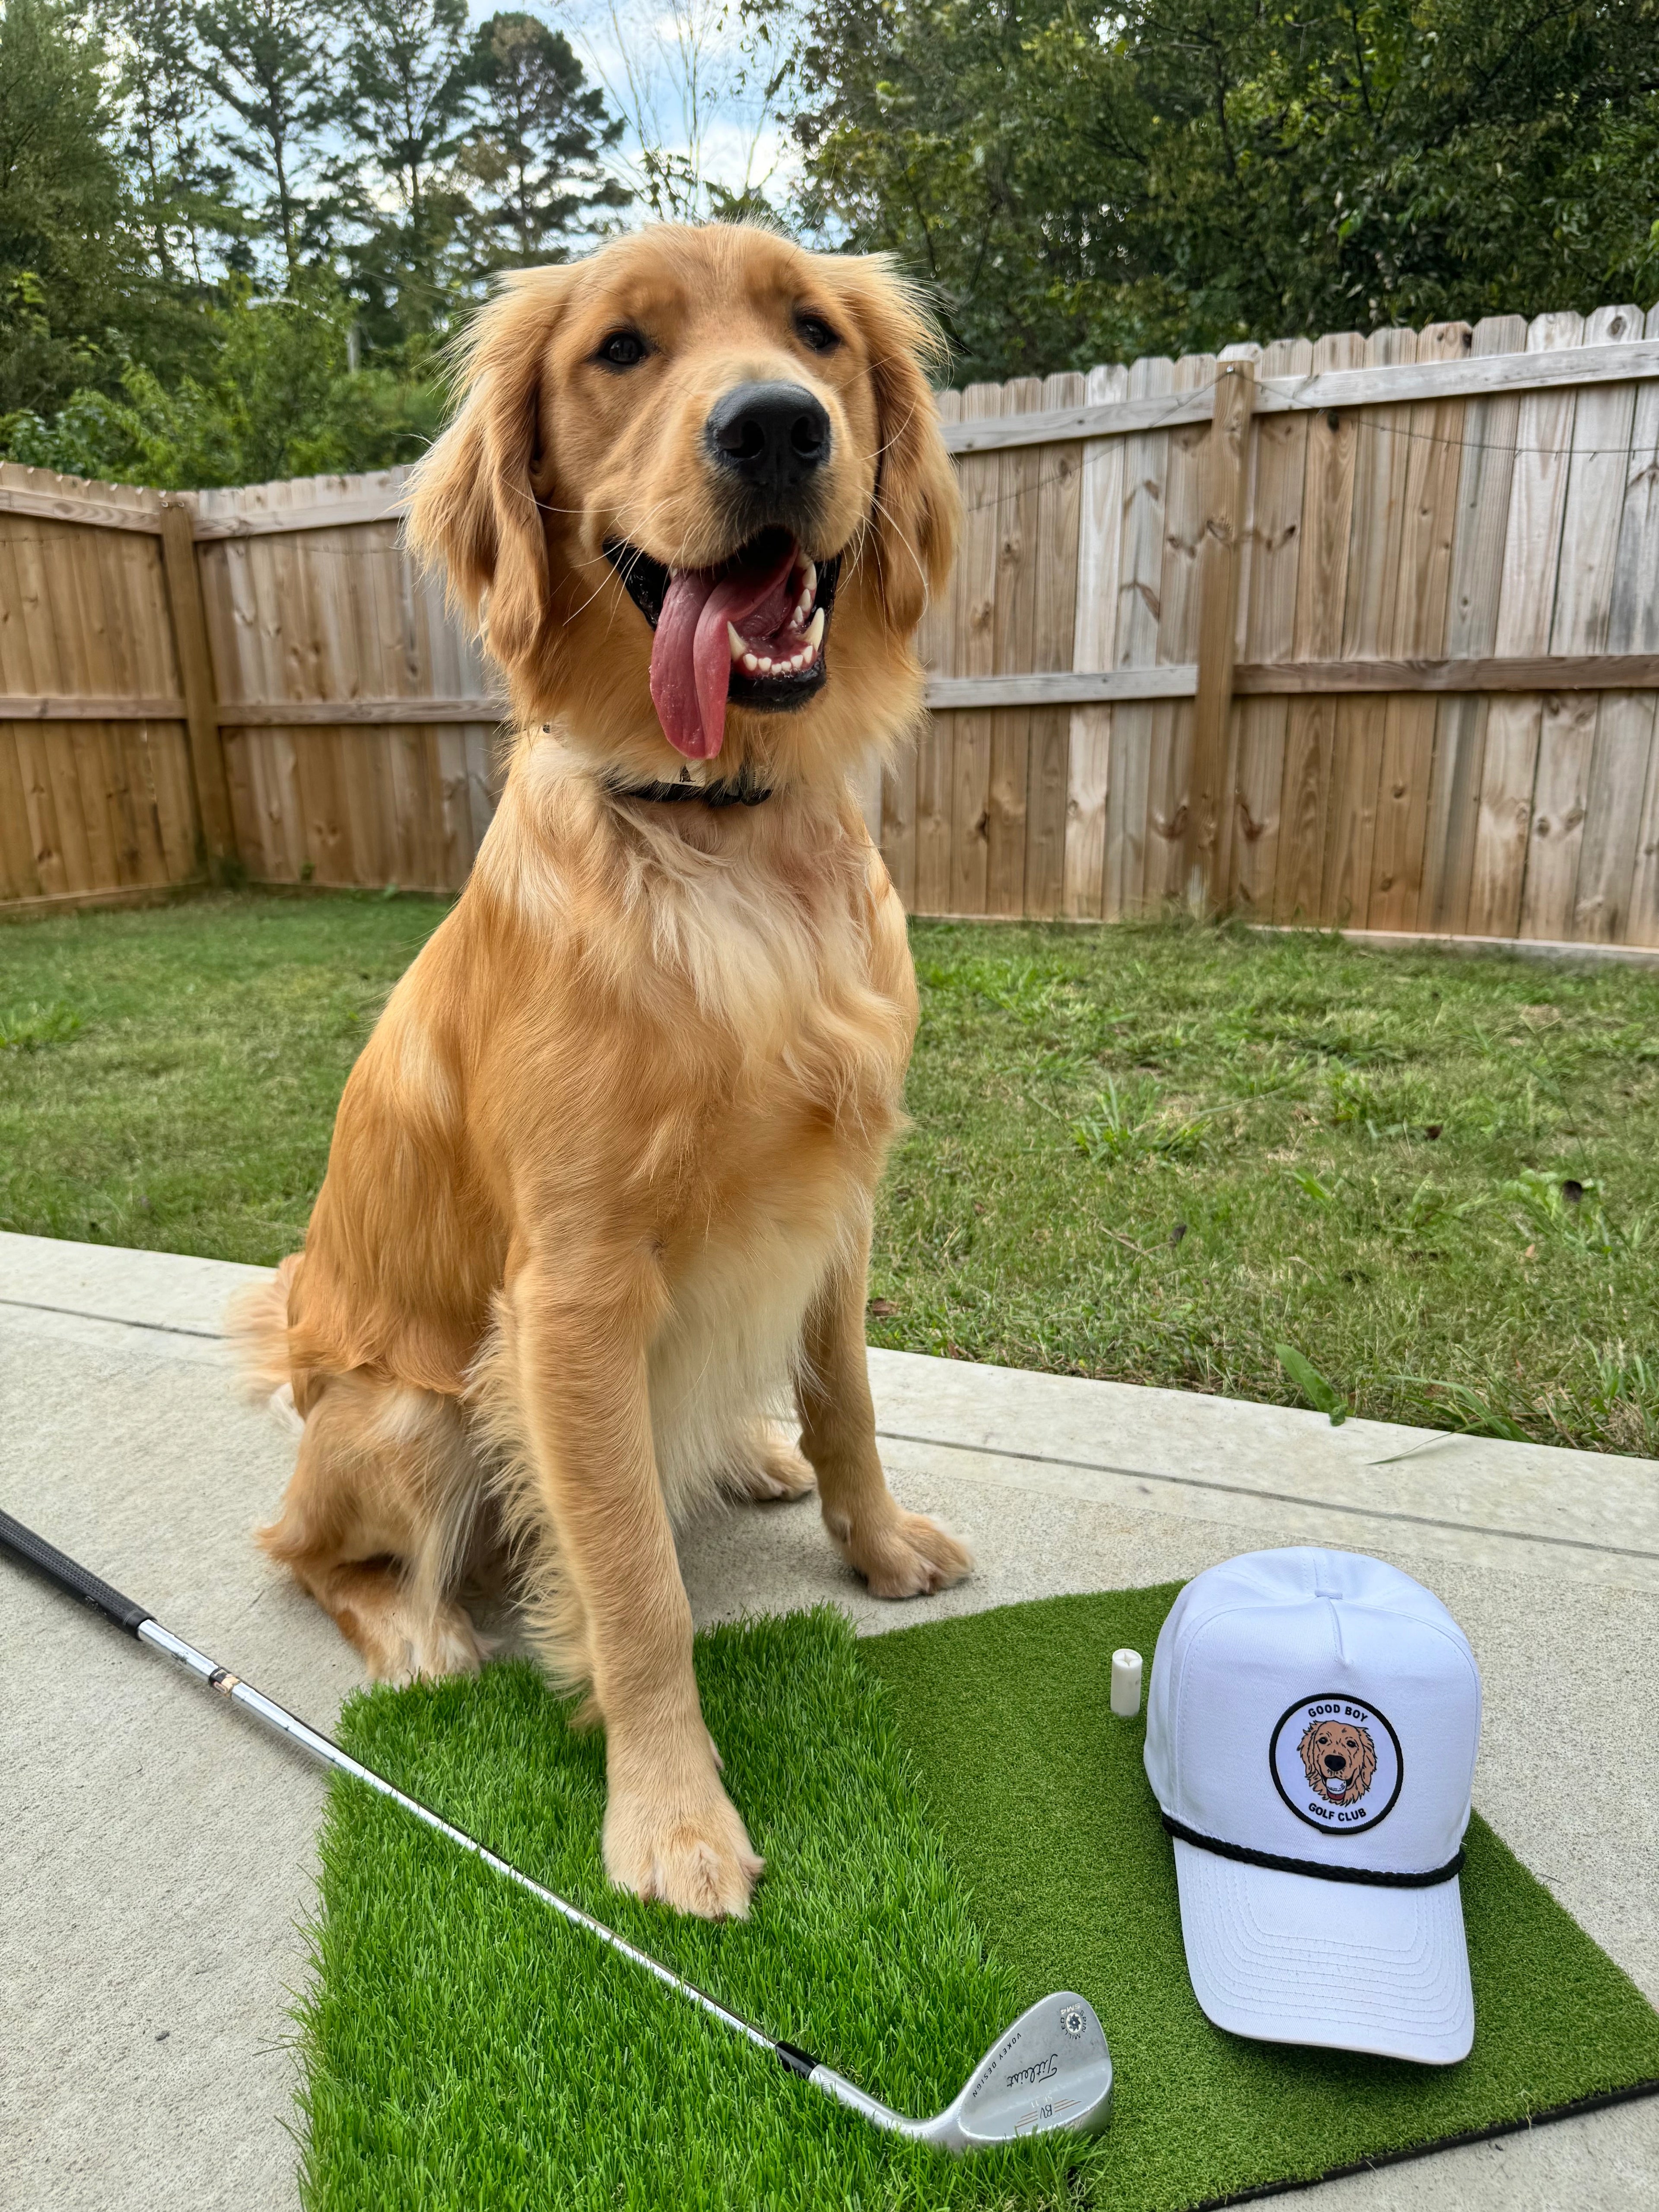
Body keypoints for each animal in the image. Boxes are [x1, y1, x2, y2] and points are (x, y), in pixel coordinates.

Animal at [242, 224, 982, 1920]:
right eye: (620, 351)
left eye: (815, 331)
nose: (776, 427)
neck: (723, 837)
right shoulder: (574, 1291)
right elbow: (635, 1583)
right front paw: (670, 1817)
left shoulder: (836, 1206)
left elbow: (847, 1399)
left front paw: (873, 1541)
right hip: (406, 1413)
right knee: (303, 1550)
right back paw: (421, 1633)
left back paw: (751, 1457)